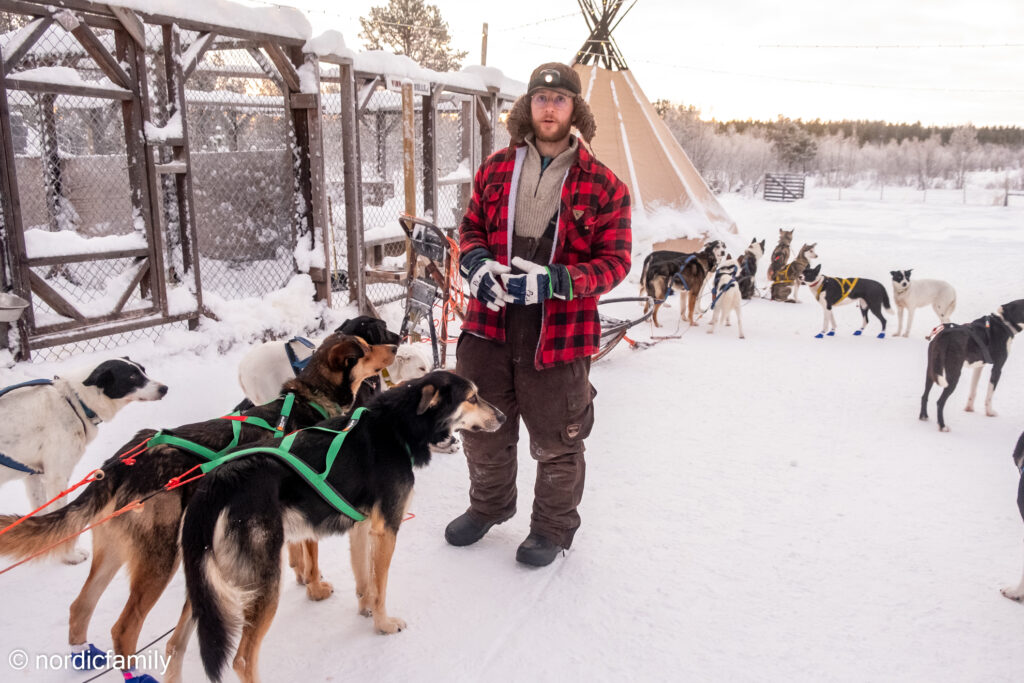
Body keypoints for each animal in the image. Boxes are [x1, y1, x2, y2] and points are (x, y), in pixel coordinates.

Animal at [0, 356, 165, 565]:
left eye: (143, 370)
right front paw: (68, 556)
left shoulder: (33, 476)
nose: (164, 388)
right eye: (132, 377)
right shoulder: (56, 479)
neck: (74, 401)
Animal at [175, 374, 503, 683]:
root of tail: (216, 483)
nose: (502, 417)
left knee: (175, 643)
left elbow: (365, 578)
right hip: (263, 581)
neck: (397, 428)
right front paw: (383, 624)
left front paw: (366, 608)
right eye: (472, 397)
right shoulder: (387, 529)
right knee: (242, 660)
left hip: (204, 589)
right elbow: (381, 586)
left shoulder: (362, 526)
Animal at [921, 301, 1024, 432]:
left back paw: (923, 416)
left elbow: (973, 390)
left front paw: (969, 408)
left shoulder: (978, 367)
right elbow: (989, 395)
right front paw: (989, 412)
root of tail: (944, 336)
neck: (1003, 322)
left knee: (924, 395)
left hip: (932, 371)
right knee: (940, 402)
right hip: (953, 375)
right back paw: (942, 426)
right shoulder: (997, 368)